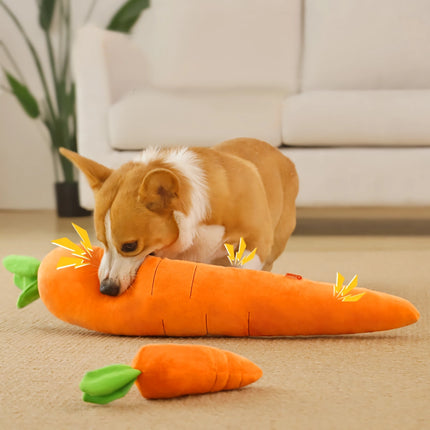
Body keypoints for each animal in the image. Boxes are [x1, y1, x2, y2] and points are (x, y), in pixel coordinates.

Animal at [59, 138, 298, 296]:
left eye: (130, 246)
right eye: (102, 241)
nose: (106, 289)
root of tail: (283, 156)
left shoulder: (257, 240)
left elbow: (243, 267)